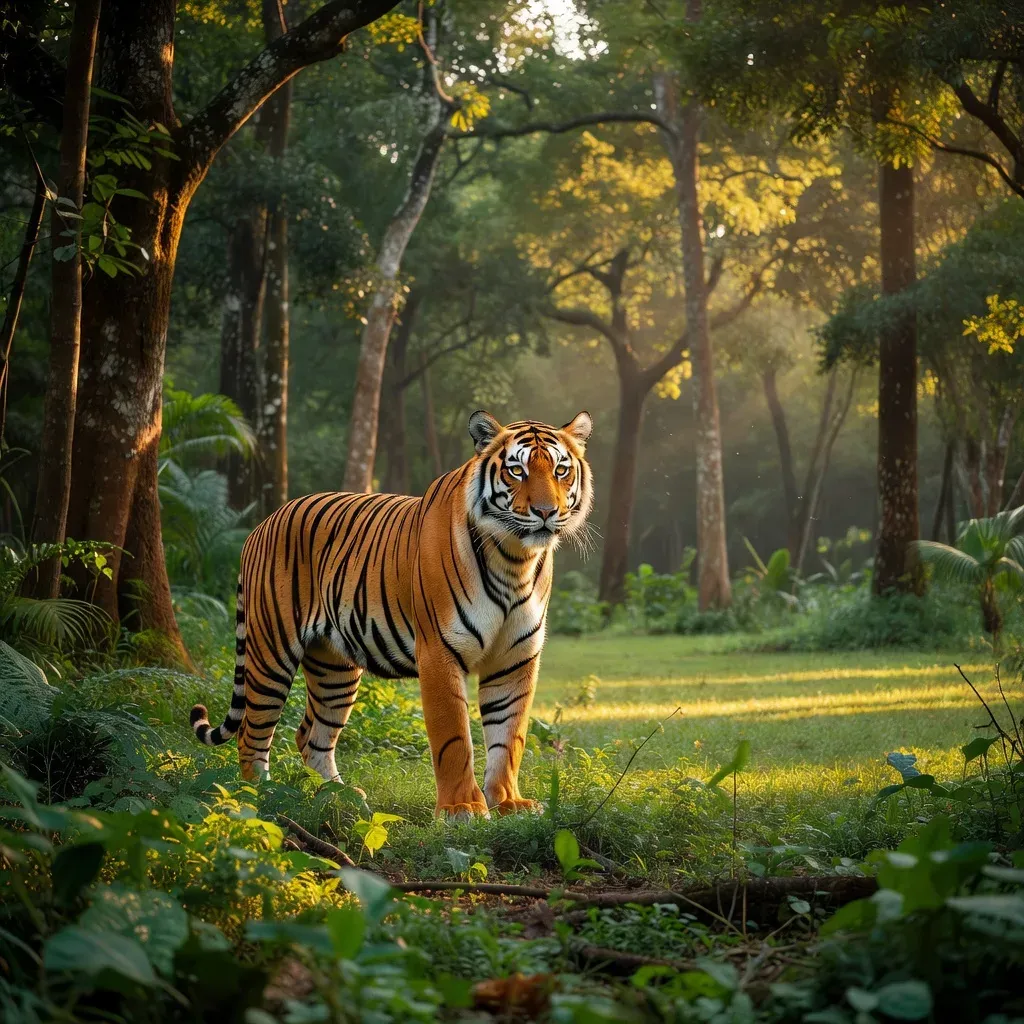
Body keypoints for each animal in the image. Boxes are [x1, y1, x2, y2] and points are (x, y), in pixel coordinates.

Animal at [190, 410, 594, 818]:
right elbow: (454, 738)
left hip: (334, 669)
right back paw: (260, 798)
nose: (546, 512)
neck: (514, 558)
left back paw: (340, 795)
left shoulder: (515, 658)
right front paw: (461, 807)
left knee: (311, 735)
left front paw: (509, 801)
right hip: (272, 652)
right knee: (252, 733)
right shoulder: (439, 651)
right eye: (516, 471)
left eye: (560, 470)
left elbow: (509, 736)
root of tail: (262, 524)